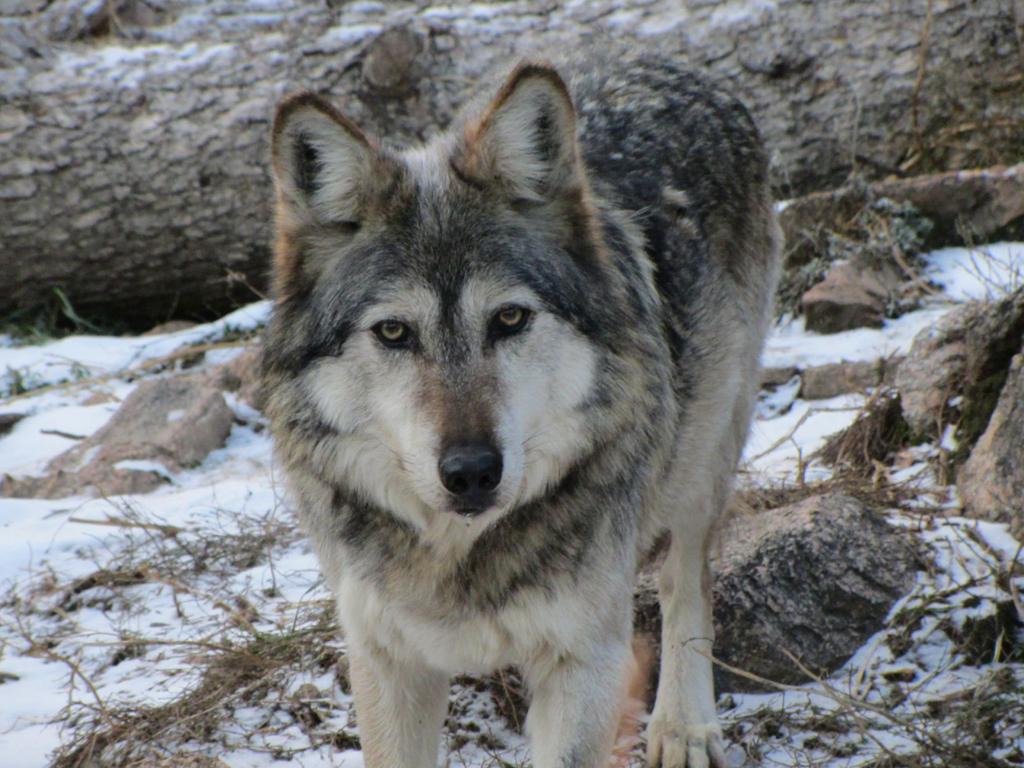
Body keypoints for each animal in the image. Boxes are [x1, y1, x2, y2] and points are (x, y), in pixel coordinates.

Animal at [260, 52, 778, 768]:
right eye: (393, 333)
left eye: (508, 319)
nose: (473, 471)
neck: (461, 556)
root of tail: (666, 60)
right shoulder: (386, 661)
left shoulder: (584, 663)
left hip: (704, 453)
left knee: (687, 578)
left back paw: (684, 727)